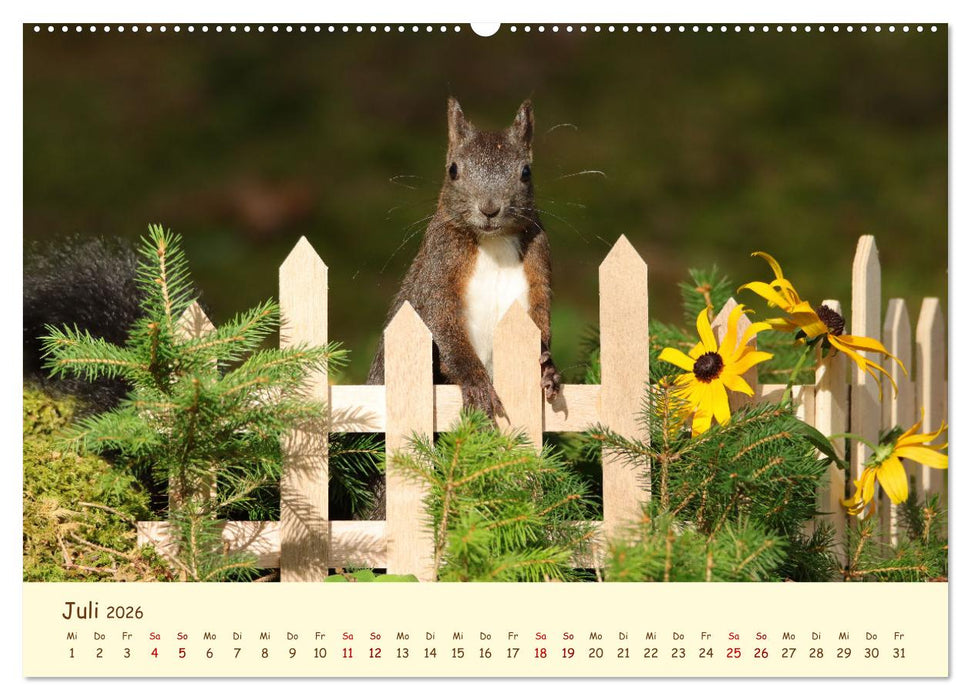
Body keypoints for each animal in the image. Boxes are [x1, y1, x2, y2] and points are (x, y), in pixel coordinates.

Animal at [367, 98, 561, 418]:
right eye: (453, 170)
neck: (494, 242)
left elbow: (541, 319)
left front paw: (549, 370)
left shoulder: (539, 265)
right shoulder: (438, 265)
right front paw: (476, 382)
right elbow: (442, 323)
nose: (489, 209)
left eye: (526, 172)